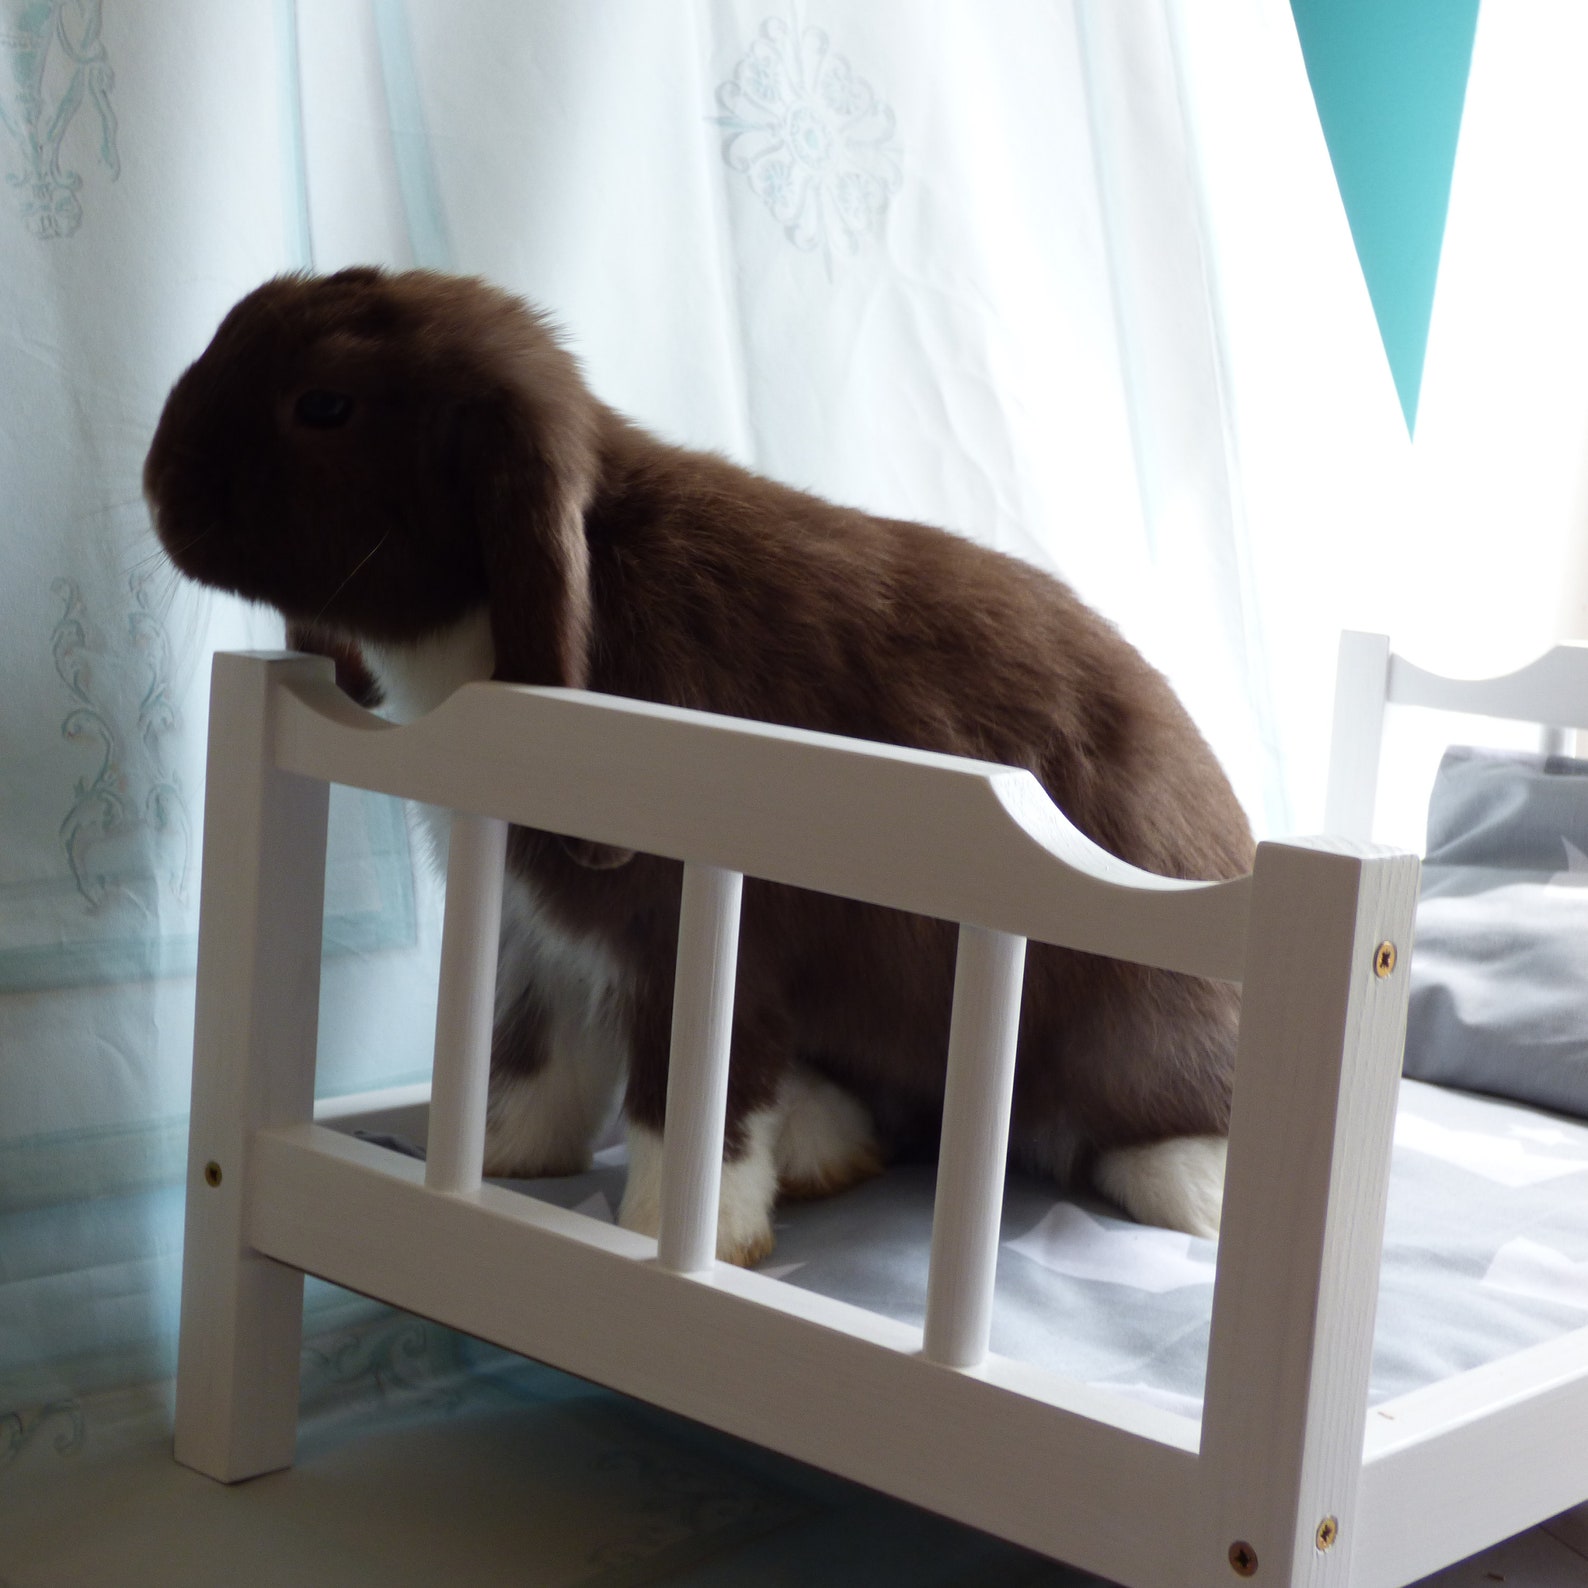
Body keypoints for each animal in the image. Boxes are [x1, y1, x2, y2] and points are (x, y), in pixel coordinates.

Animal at [144, 266, 1255, 1264]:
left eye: (324, 405)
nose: (157, 485)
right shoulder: (539, 937)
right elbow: (528, 1063)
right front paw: (499, 1167)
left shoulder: (701, 944)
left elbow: (687, 1109)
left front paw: (673, 1237)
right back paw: (827, 1139)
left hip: (1131, 1035)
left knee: (1147, 1123)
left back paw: (1190, 1193)